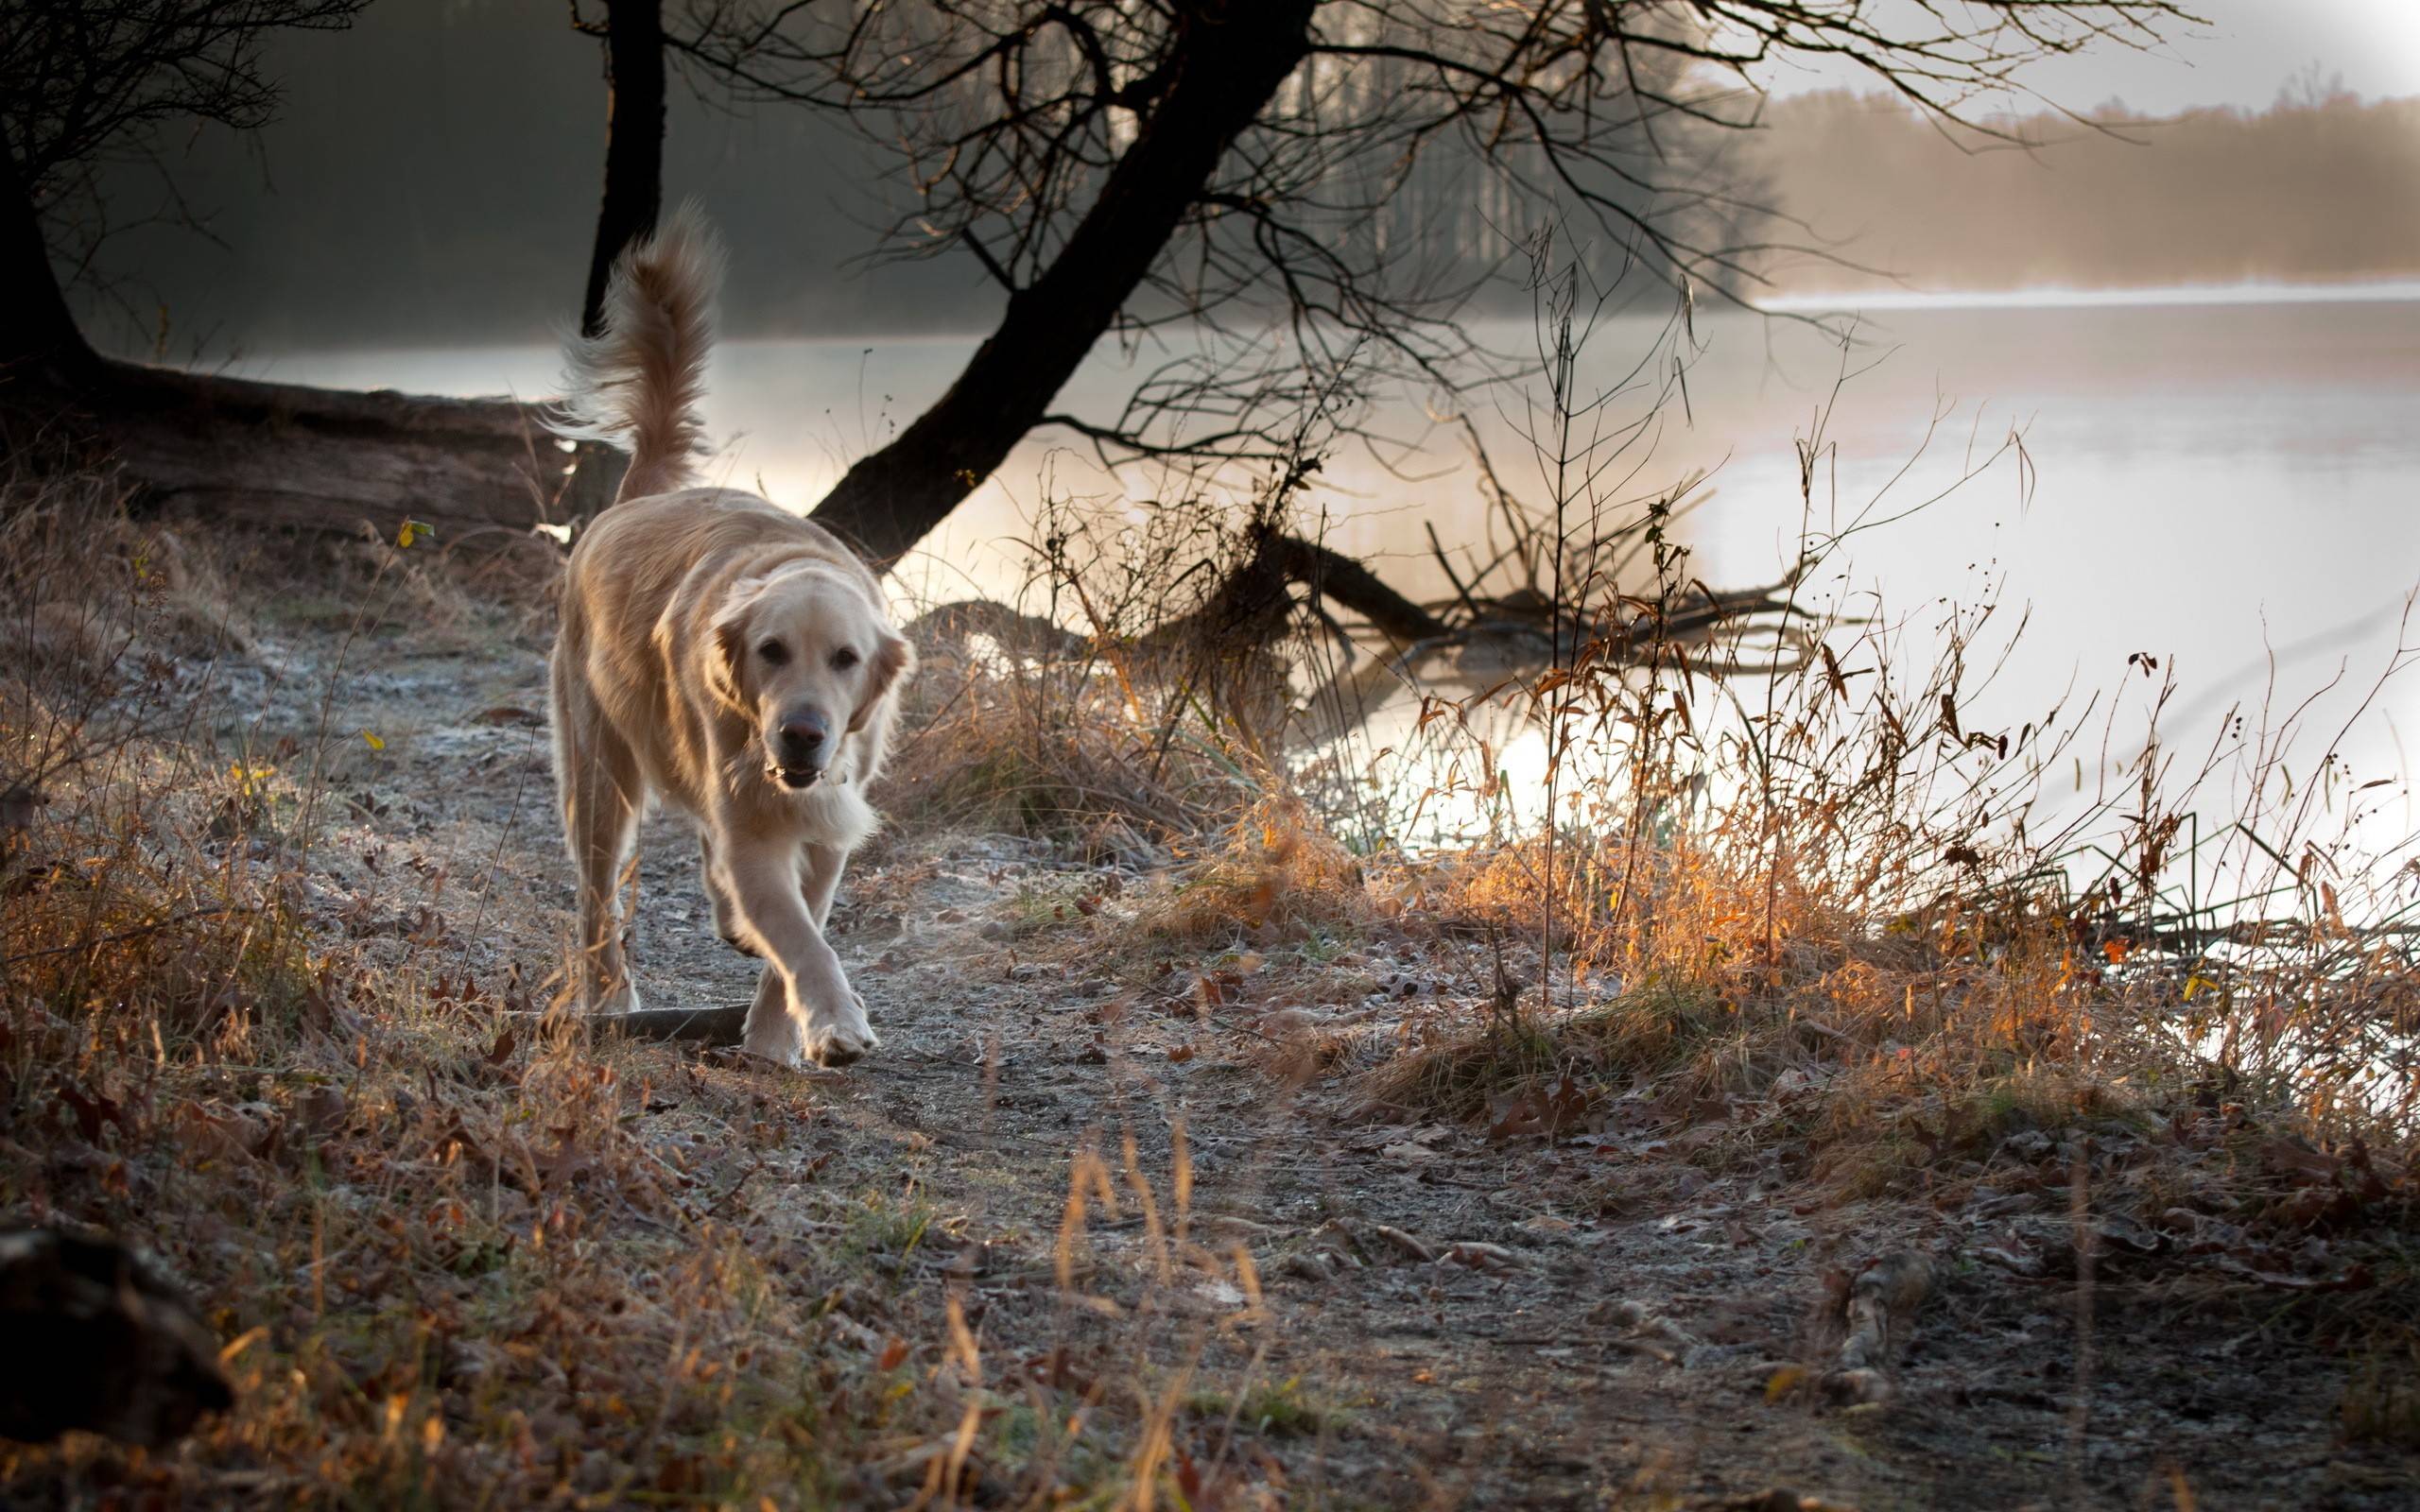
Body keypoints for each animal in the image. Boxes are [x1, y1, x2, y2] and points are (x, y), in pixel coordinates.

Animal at [549, 209, 914, 1059]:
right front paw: (834, 1021)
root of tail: (629, 501)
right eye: (771, 652)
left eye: (846, 659)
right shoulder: (755, 818)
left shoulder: (826, 818)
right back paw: (607, 998)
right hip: (599, 773)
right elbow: (802, 937)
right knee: (595, 899)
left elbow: (803, 922)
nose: (803, 735)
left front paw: (777, 1033)